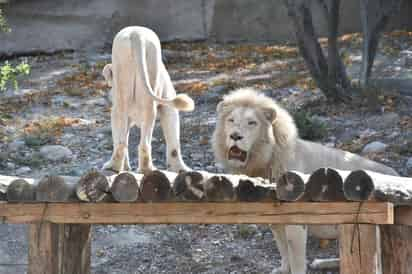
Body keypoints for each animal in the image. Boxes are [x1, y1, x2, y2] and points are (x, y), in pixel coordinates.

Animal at [102, 26, 194, 173]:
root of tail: (136, 35)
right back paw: (143, 168)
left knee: (124, 131)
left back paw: (117, 167)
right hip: (145, 63)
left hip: (128, 66)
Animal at [211, 88, 398, 274]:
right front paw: (283, 269)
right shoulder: (274, 218)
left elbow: (296, 258)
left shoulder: (296, 220)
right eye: (231, 120)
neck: (264, 163)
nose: (235, 136)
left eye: (252, 123)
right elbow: (282, 247)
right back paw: (321, 263)